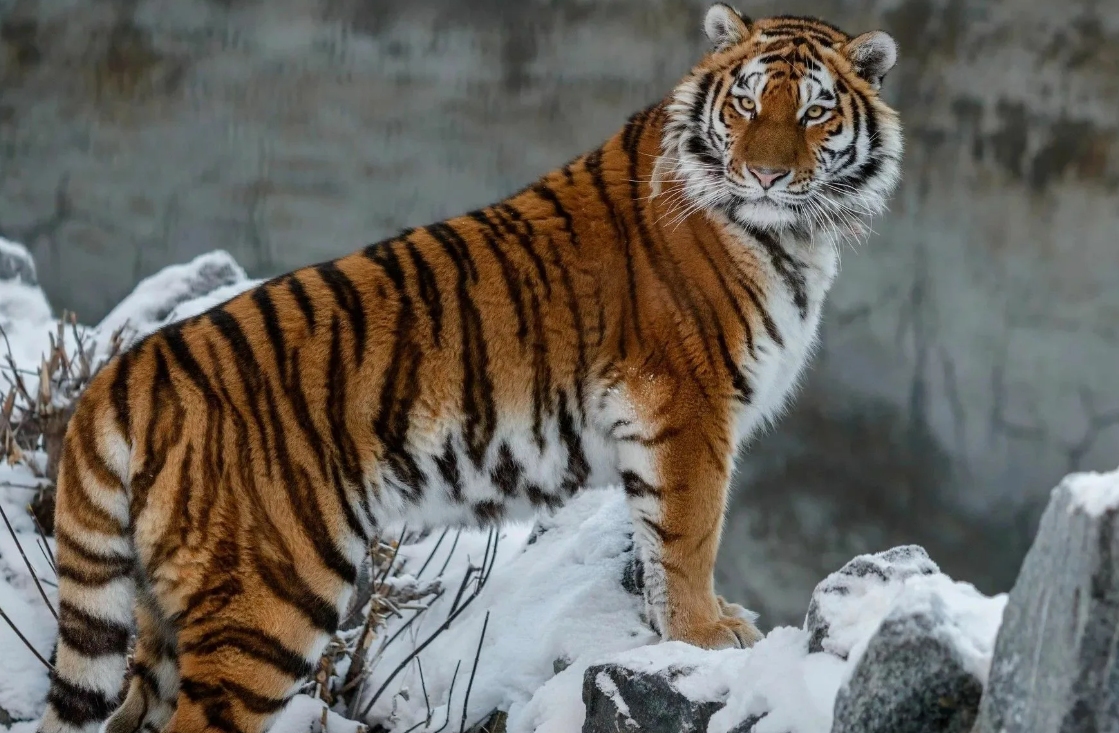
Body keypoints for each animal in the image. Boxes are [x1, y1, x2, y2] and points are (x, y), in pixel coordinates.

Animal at [38, 5, 902, 733]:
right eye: (745, 105)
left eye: (814, 111)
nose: (765, 176)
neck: (792, 233)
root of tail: (129, 368)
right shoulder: (687, 404)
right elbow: (688, 532)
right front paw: (705, 634)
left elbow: (659, 539)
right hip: (268, 597)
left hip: (161, 609)